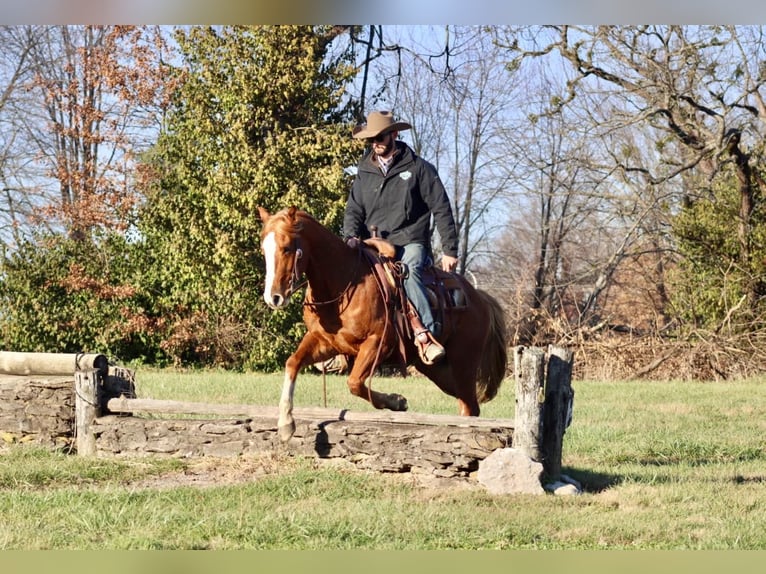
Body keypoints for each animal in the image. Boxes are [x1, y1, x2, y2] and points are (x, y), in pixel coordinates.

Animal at [258, 205, 508, 442]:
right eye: (264, 249)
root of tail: (479, 297)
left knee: (470, 405)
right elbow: (293, 363)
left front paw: (396, 401)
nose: (274, 297)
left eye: (287, 248)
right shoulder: (325, 342)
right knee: (467, 402)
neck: (343, 283)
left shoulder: (379, 343)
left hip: (464, 363)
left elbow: (355, 382)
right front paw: (286, 423)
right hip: (438, 371)